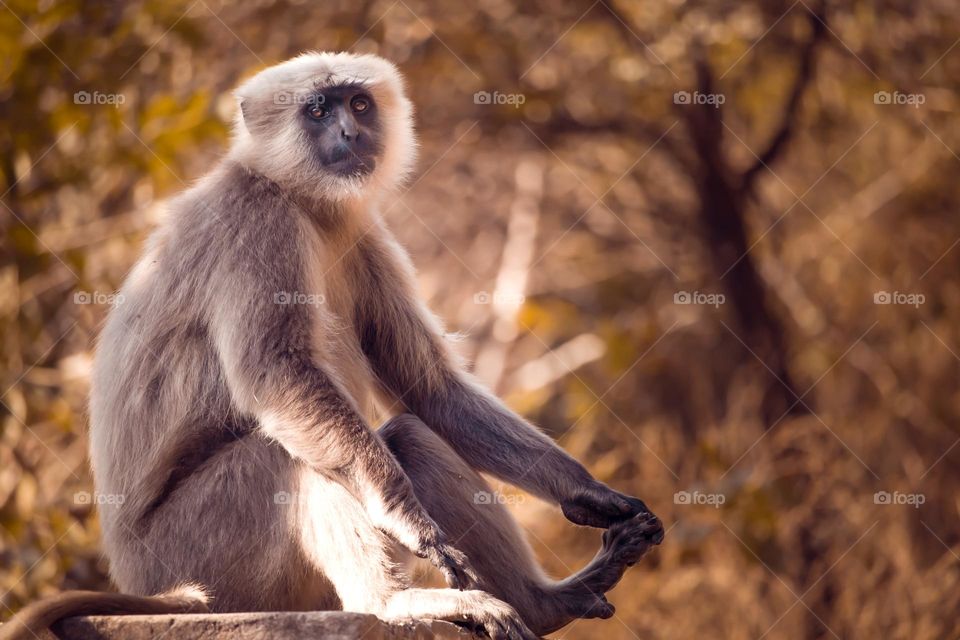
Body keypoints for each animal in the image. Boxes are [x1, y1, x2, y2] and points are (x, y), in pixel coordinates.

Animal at [0, 52, 663, 640]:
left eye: (359, 104)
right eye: (318, 110)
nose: (349, 130)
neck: (299, 196)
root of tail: (138, 577)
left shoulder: (362, 230)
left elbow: (432, 391)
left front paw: (591, 495)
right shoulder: (256, 219)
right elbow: (279, 377)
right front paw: (410, 525)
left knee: (407, 434)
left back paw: (545, 605)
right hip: (198, 558)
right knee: (286, 457)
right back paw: (396, 603)